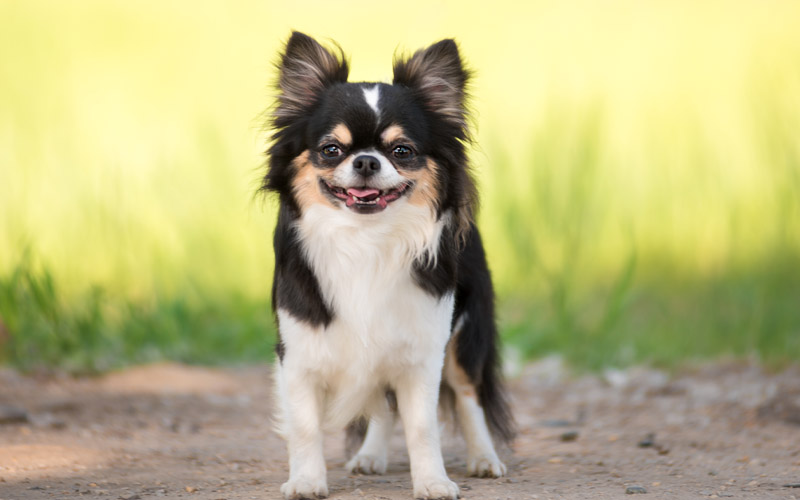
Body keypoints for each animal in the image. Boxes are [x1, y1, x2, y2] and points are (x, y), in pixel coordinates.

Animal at [262, 32, 512, 500]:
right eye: (331, 150)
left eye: (402, 151)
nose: (365, 160)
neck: (366, 239)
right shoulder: (299, 354)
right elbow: (305, 426)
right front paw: (306, 480)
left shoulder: (424, 352)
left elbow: (422, 426)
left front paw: (433, 481)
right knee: (382, 405)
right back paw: (370, 456)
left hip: (464, 336)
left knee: (467, 395)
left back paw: (484, 458)